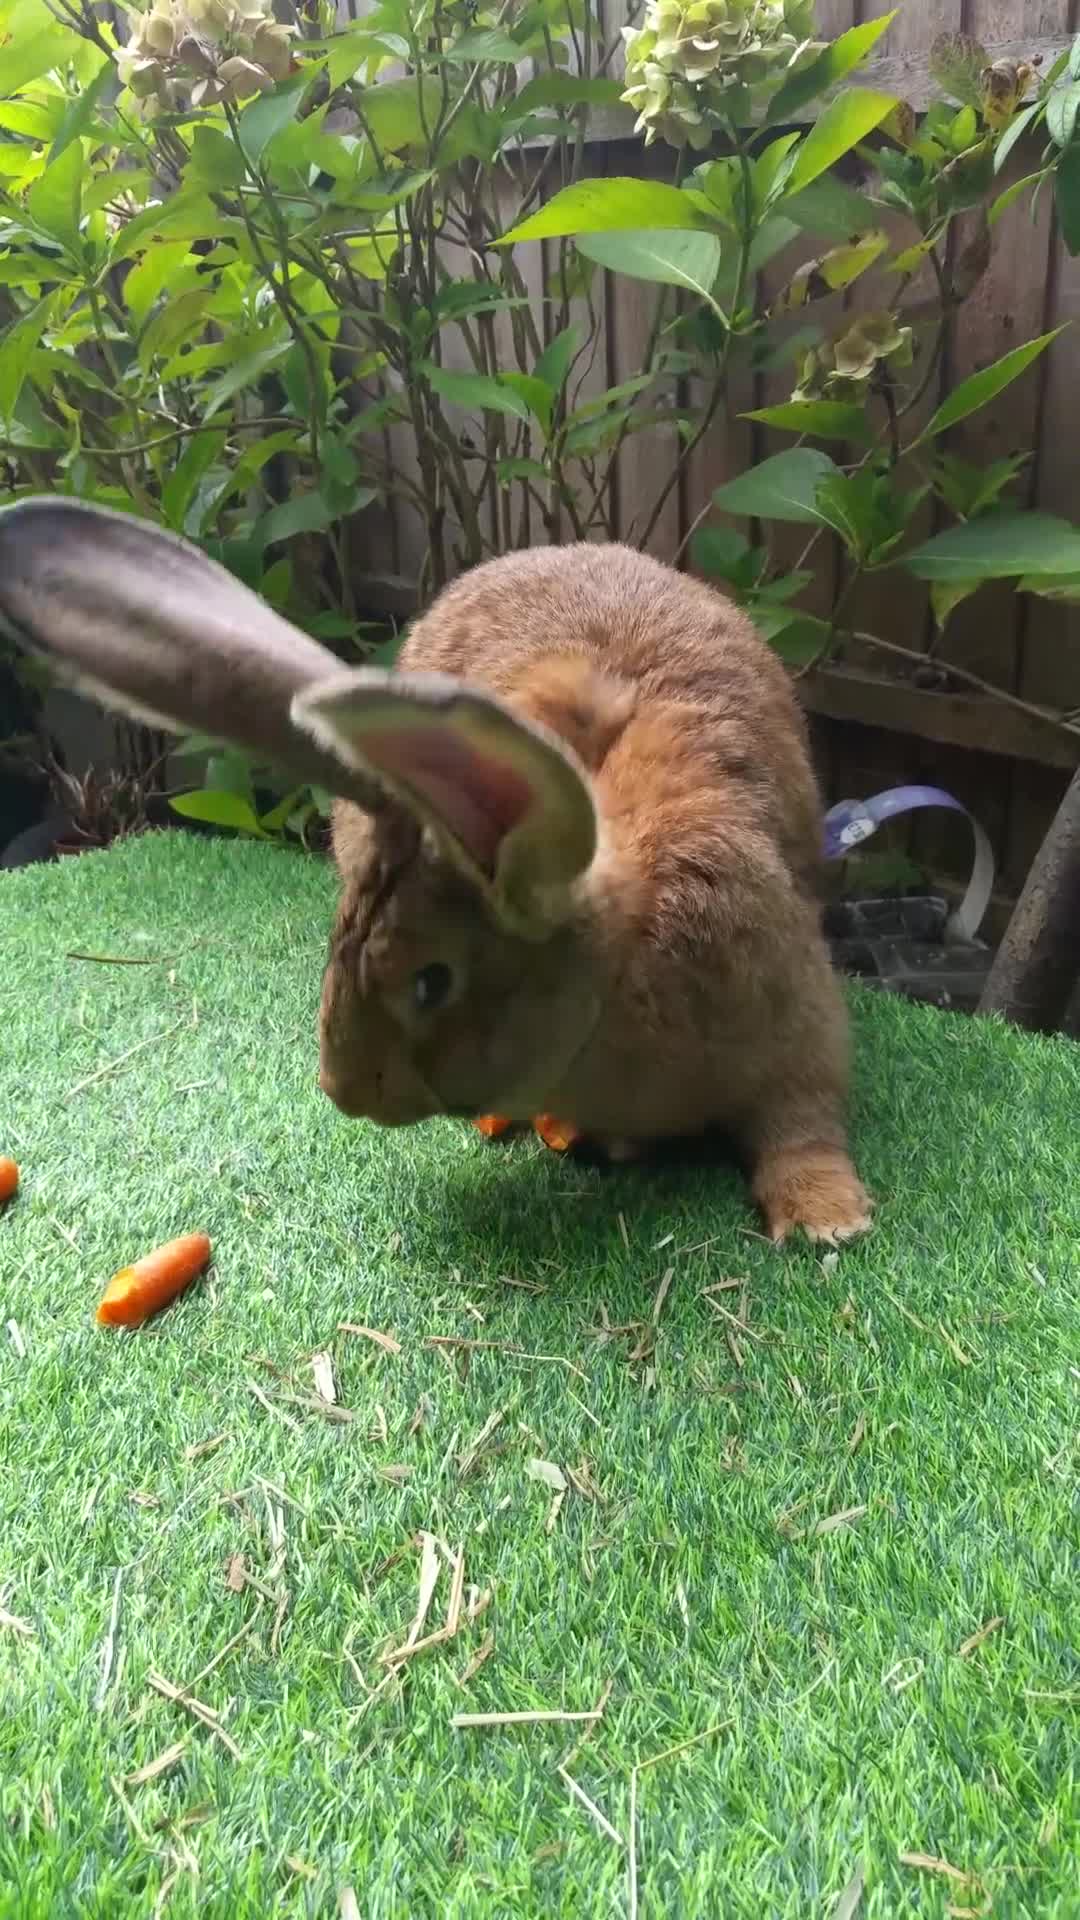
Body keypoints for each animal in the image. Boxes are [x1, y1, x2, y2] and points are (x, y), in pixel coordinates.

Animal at [0, 498, 871, 1243]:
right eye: (339, 950)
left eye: (431, 983)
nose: (341, 1091)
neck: (624, 961)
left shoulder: (795, 1026)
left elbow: (801, 1124)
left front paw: (827, 1220)